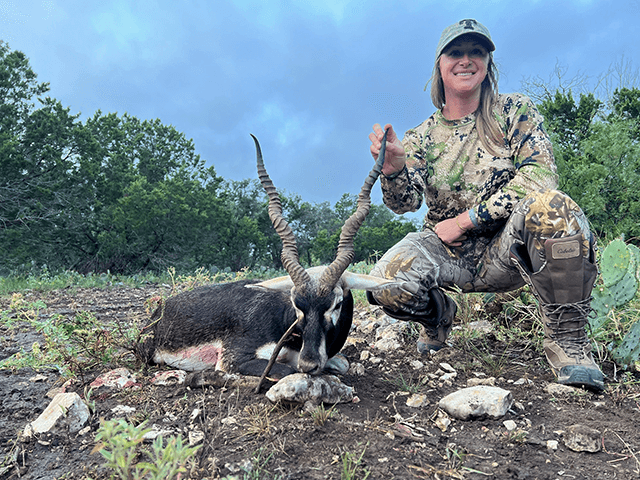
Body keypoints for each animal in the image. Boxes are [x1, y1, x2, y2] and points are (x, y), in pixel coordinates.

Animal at [136, 130, 394, 384]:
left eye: (337, 303)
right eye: (296, 304)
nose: (308, 364)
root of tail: (158, 313)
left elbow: (341, 363)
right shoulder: (234, 358)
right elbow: (285, 371)